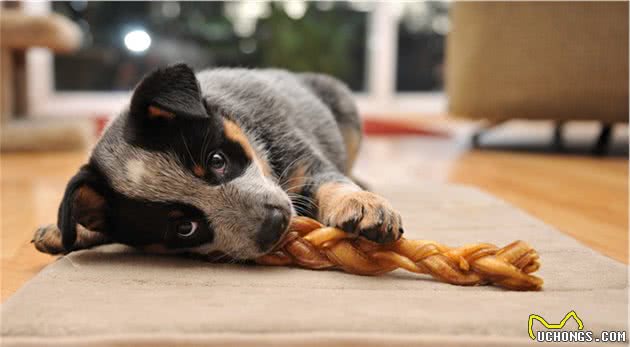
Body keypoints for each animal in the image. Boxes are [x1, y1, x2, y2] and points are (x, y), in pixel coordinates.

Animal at [33, 64, 404, 260]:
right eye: (185, 228)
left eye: (216, 160)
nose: (275, 222)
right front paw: (66, 230)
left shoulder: (303, 159)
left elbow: (332, 181)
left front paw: (363, 204)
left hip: (347, 113)